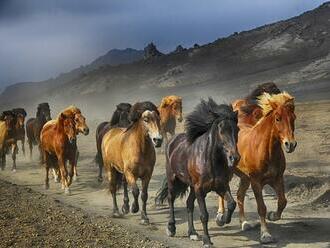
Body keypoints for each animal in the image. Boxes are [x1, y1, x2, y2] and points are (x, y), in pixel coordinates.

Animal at [155, 99, 240, 248]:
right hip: (173, 179)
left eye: (237, 130)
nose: (234, 158)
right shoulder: (200, 189)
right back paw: (171, 228)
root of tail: (172, 141)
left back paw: (193, 233)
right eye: (221, 130)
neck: (210, 160)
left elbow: (232, 204)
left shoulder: (221, 186)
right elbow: (204, 215)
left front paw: (223, 220)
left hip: (192, 186)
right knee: (171, 199)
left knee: (189, 203)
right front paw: (207, 240)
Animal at [217, 91, 296, 244]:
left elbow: (282, 201)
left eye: (293, 118)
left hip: (244, 178)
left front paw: (273, 215)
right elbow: (261, 207)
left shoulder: (276, 179)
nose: (290, 144)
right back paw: (220, 217)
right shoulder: (256, 182)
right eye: (277, 119)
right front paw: (265, 235)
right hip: (228, 173)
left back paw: (244, 223)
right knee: (222, 191)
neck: (265, 150)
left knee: (240, 195)